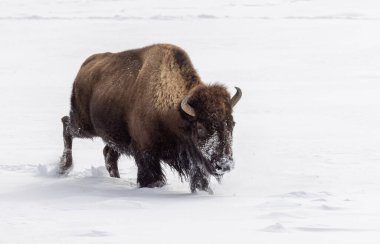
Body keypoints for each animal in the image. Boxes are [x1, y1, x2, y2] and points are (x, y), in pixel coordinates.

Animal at [59, 43, 243, 193]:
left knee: (109, 153)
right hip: (83, 124)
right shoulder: (146, 152)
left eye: (232, 124)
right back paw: (63, 168)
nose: (225, 164)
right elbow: (152, 178)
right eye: (200, 127)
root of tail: (85, 66)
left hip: (114, 135)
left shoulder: (193, 159)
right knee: (66, 125)